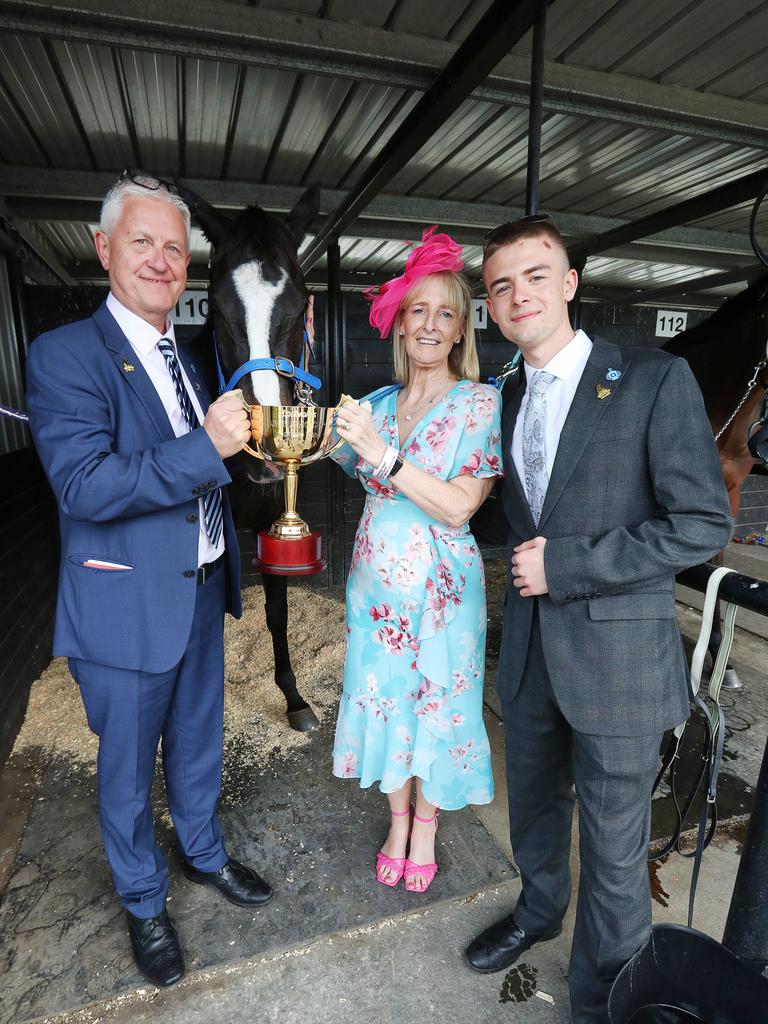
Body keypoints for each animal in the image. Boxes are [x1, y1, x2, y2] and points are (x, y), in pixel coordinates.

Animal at [176, 182, 323, 729]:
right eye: (215, 309)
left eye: (301, 305)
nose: (261, 459)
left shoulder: (273, 519)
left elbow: (277, 611)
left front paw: (295, 697)